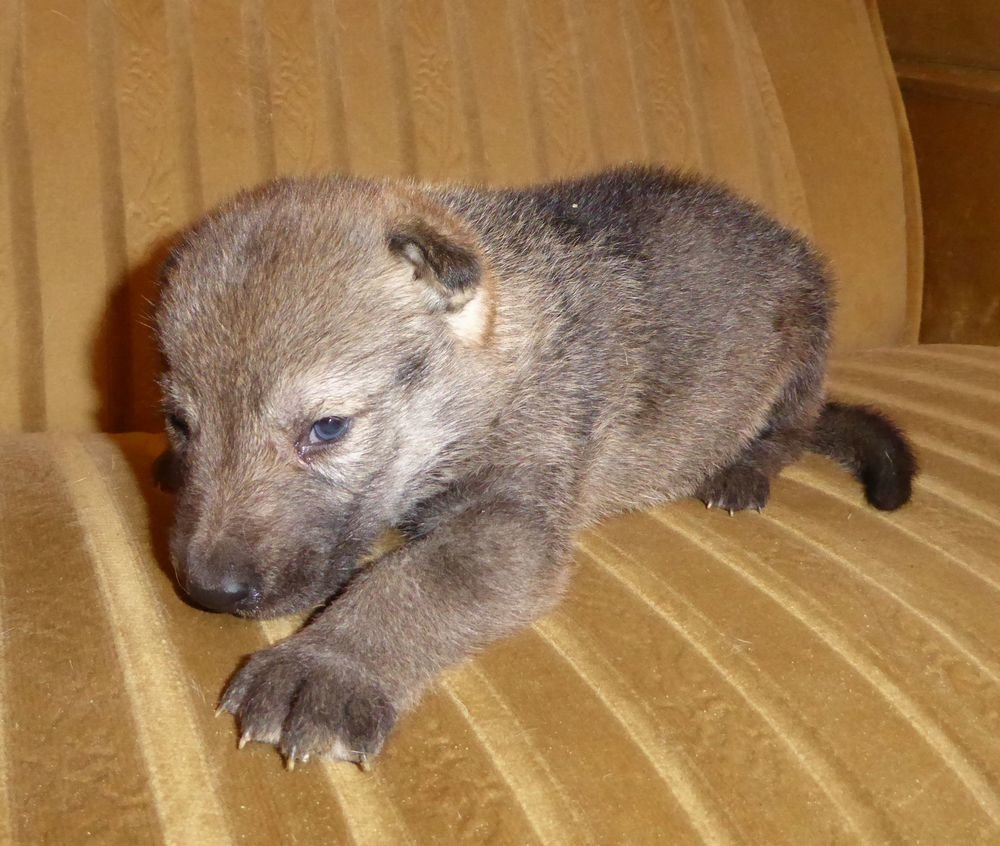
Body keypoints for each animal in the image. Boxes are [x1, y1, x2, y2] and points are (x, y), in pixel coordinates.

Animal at [155, 165, 916, 768]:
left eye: (328, 428)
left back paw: (741, 471)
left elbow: (410, 581)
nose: (209, 591)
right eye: (180, 423)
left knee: (787, 432)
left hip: (805, 342)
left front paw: (326, 667)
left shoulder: (510, 520)